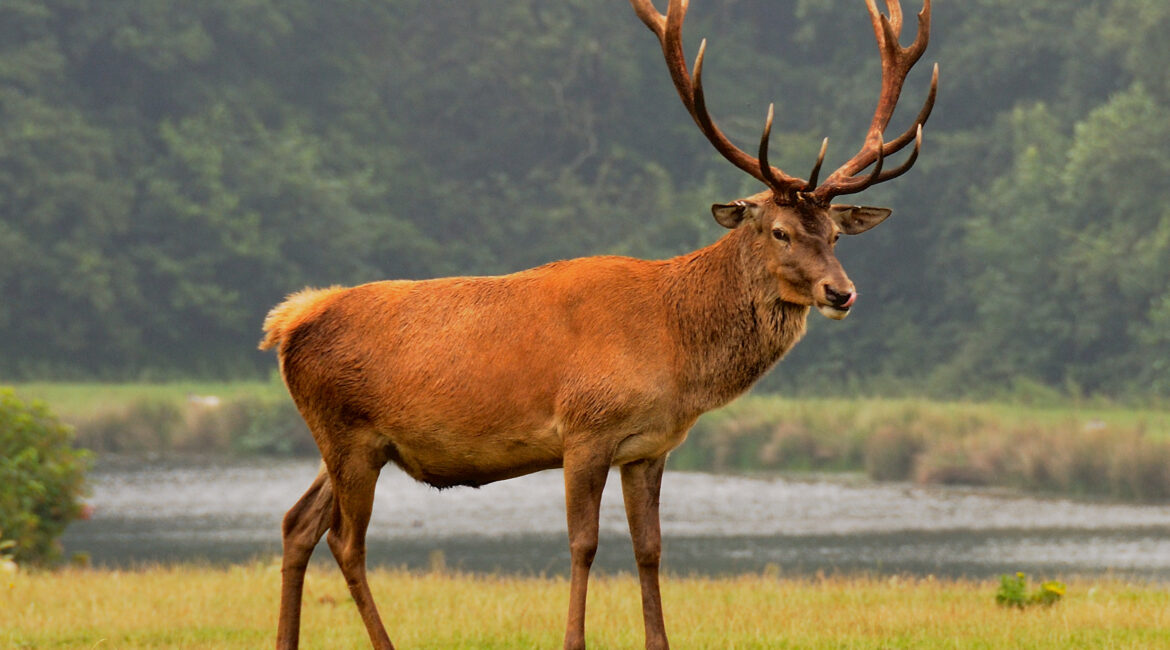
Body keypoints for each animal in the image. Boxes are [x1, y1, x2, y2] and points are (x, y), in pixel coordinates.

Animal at [260, 1, 935, 648]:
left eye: (837, 235)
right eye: (780, 231)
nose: (841, 292)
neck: (675, 347)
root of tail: (288, 322)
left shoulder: (650, 447)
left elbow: (650, 548)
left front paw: (660, 639)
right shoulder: (584, 429)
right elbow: (583, 544)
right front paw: (573, 640)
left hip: (351, 442)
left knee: (297, 522)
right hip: (347, 434)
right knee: (345, 541)